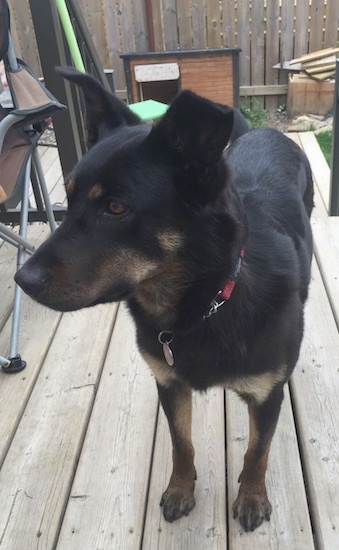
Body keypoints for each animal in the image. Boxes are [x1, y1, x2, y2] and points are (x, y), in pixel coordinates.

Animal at [15, 67, 314, 532]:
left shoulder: (266, 397)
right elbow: (181, 442)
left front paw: (251, 496)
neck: (207, 304)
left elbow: (256, 452)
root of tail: (266, 131)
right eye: (70, 194)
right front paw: (180, 489)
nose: (21, 279)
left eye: (116, 208)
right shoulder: (169, 384)